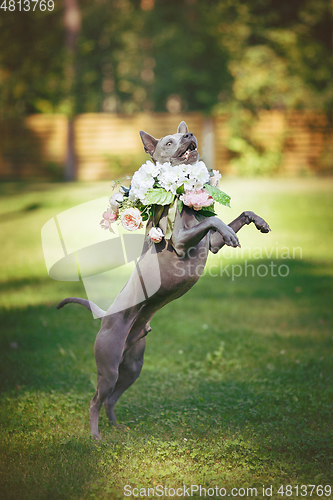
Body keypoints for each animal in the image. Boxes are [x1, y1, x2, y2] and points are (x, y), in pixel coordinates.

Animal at [57, 122, 270, 442]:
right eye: (169, 142)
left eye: (184, 133)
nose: (189, 135)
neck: (183, 198)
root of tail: (105, 317)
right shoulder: (181, 241)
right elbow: (215, 221)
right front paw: (231, 232)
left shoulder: (210, 244)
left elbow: (238, 215)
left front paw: (259, 222)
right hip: (108, 366)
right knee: (95, 400)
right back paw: (96, 437)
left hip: (132, 367)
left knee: (110, 399)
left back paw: (117, 427)